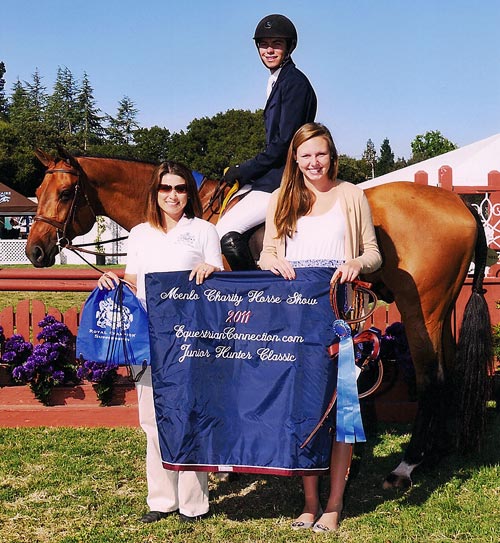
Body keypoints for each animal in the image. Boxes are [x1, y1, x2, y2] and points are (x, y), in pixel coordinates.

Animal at [26, 148, 492, 488]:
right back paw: (435, 455)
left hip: (420, 310)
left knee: (433, 378)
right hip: (439, 309)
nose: (35, 251)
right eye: (40, 189)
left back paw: (407, 466)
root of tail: (458, 202)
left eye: (65, 194)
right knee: (448, 373)